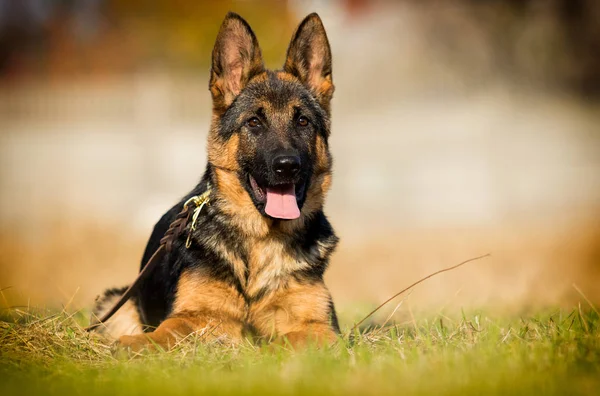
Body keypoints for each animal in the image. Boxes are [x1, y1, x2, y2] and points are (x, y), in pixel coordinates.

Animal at [92, 12, 340, 352]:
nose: (287, 166)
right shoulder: (193, 314)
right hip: (112, 303)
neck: (262, 240)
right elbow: (166, 331)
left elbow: (291, 338)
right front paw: (137, 344)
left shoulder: (321, 327)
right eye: (254, 122)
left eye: (302, 121)